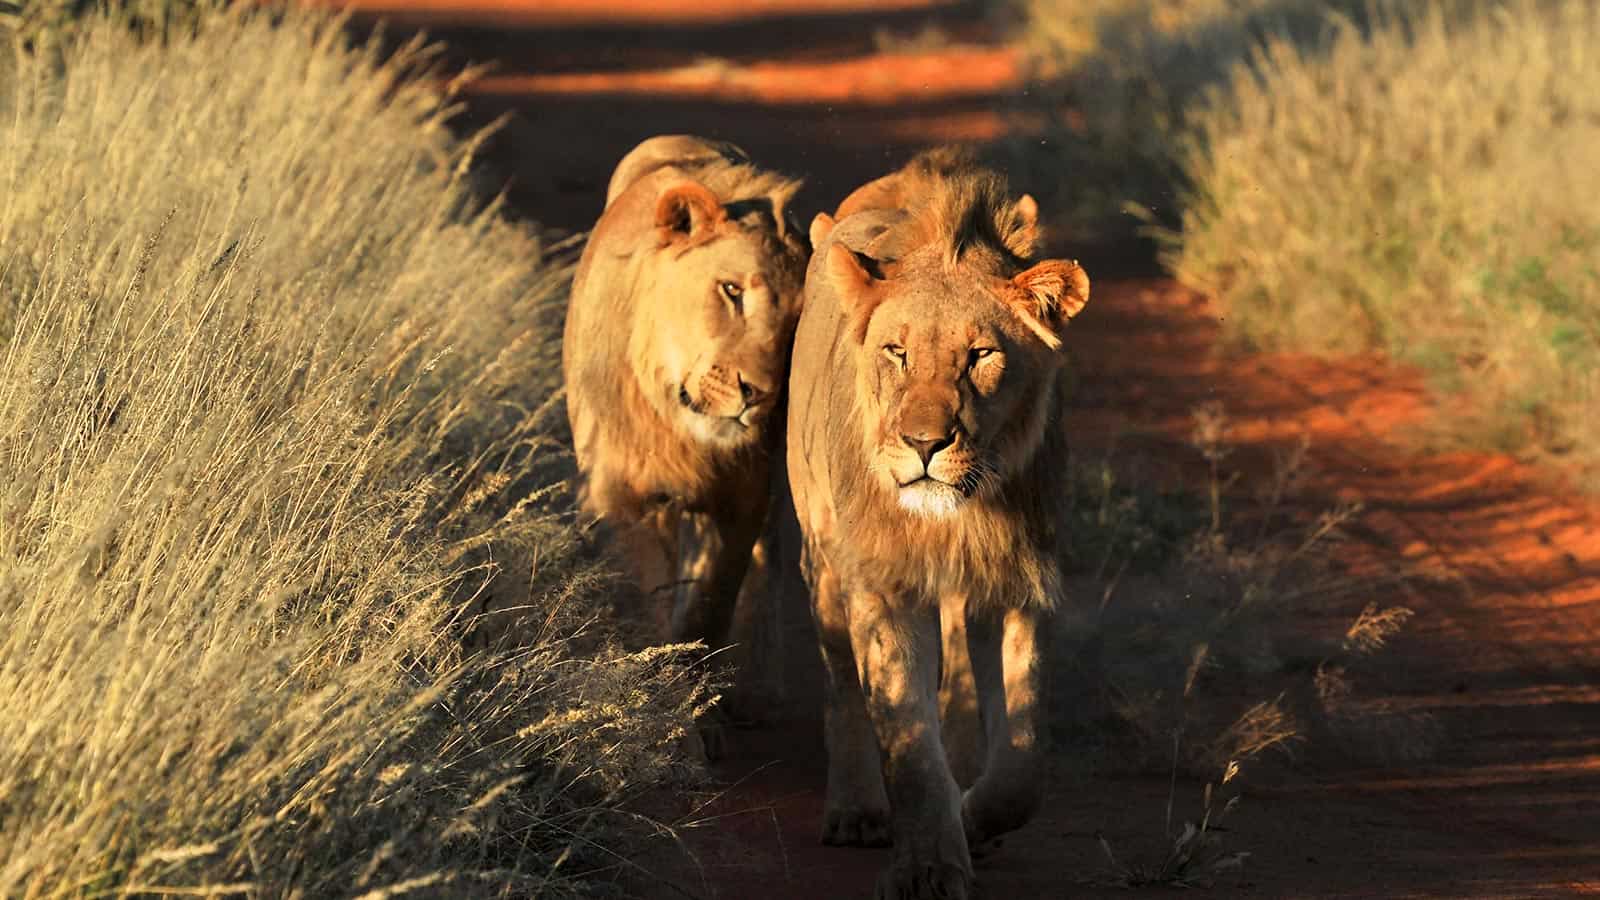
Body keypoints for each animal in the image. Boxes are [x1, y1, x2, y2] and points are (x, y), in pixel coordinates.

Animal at [563, 135, 809, 744]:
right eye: (731, 290)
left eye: (797, 321)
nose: (758, 393)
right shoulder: (618, 497)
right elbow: (648, 604)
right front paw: (666, 706)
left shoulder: (741, 499)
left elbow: (707, 605)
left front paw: (704, 709)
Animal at [786, 150, 1090, 899]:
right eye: (896, 352)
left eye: (980, 355)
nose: (925, 444)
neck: (958, 517)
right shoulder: (883, 583)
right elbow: (906, 736)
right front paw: (927, 865)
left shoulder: (1022, 582)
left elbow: (1022, 760)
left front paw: (974, 817)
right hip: (823, 558)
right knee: (842, 684)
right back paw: (857, 811)